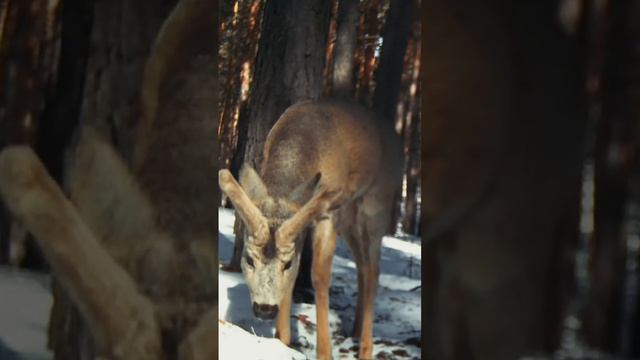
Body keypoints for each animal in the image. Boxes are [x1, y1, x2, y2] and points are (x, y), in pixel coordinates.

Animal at [219, 98, 400, 360]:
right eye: (249, 260)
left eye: (285, 264)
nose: (264, 309)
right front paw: (282, 340)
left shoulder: (328, 215)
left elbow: (319, 275)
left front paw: (325, 352)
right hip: (350, 220)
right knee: (363, 265)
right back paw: (355, 330)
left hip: (375, 207)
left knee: (374, 269)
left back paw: (365, 349)